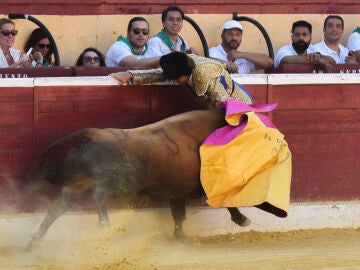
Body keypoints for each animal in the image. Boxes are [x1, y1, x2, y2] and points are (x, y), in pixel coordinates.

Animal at [27, 108, 250, 247]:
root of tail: (95, 133)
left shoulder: (177, 192)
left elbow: (179, 215)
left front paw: (180, 238)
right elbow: (230, 202)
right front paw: (243, 219)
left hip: (77, 182)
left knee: (59, 206)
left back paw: (34, 241)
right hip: (120, 182)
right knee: (98, 195)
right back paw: (104, 223)